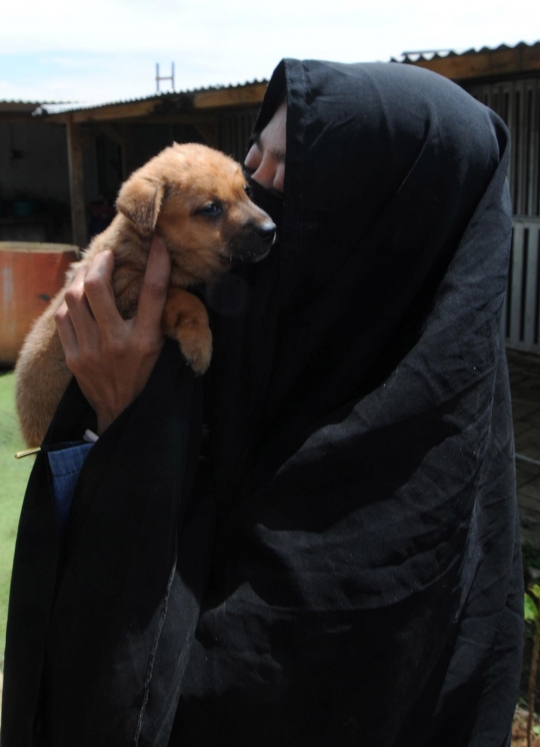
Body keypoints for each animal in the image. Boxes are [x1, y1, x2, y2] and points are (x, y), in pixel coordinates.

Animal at [15, 143, 278, 448]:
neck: (142, 241)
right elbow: (185, 298)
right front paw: (199, 343)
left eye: (246, 191)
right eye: (211, 208)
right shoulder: (125, 286)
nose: (271, 231)